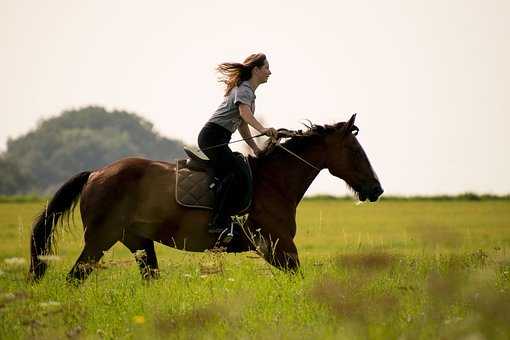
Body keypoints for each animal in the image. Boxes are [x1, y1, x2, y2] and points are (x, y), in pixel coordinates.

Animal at [27, 115, 382, 284]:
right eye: (354, 150)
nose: (376, 189)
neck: (273, 181)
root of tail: (96, 173)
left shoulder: (279, 249)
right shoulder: (279, 247)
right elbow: (299, 280)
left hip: (138, 242)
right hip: (100, 239)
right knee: (74, 278)